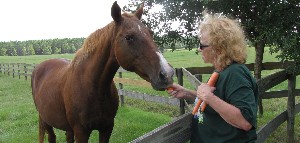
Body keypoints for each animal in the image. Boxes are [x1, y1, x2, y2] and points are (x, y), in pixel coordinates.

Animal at [31, 1, 173, 143]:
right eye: (129, 37)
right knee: (51, 137)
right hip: (45, 119)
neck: (92, 87)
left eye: (150, 33)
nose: (167, 74)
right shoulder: (81, 132)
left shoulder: (107, 128)